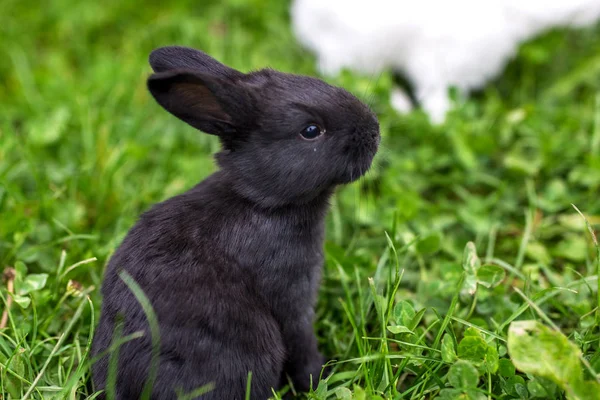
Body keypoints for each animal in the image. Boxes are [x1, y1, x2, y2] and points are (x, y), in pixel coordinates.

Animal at [91, 45, 378, 398]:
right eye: (311, 131)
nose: (375, 130)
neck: (261, 202)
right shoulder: (292, 300)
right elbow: (301, 343)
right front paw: (320, 377)